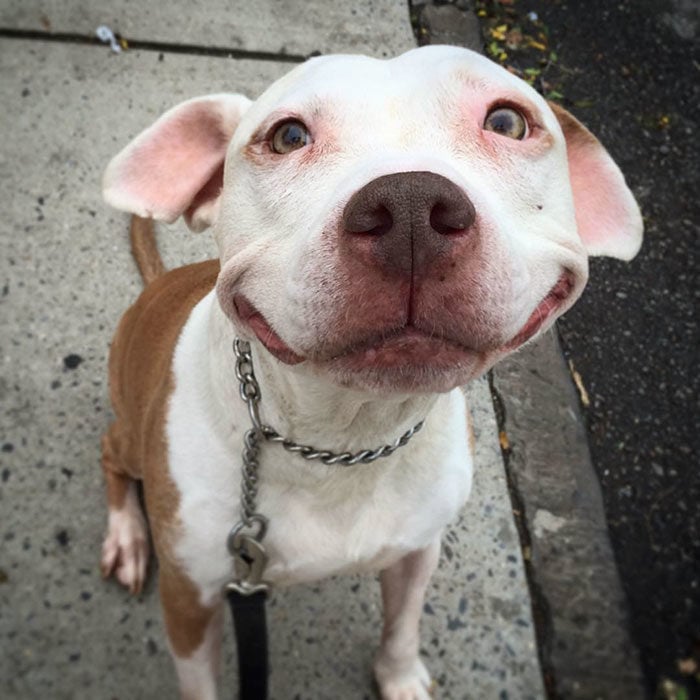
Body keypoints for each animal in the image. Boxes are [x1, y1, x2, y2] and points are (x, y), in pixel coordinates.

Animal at [101, 46, 644, 696]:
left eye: (508, 121)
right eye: (287, 136)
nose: (411, 206)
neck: (345, 438)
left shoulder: (417, 547)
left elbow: (402, 625)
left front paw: (400, 678)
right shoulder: (189, 599)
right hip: (131, 437)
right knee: (110, 455)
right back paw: (127, 537)